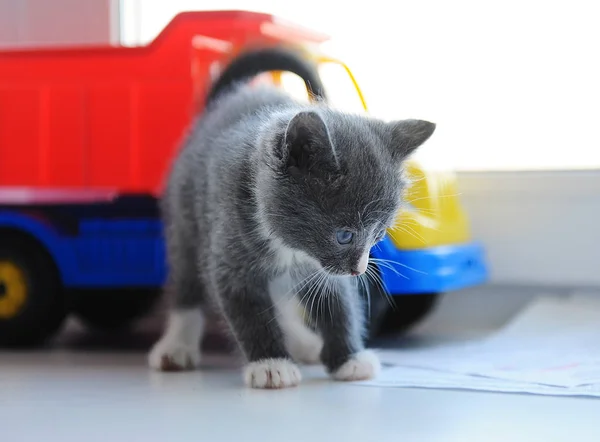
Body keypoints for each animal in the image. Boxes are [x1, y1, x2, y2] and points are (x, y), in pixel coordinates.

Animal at [147, 46, 434, 388]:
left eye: (379, 235)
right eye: (345, 235)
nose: (360, 270)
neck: (290, 248)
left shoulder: (322, 270)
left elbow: (337, 304)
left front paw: (349, 359)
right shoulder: (230, 252)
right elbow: (248, 310)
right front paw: (271, 364)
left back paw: (301, 342)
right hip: (184, 220)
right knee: (187, 286)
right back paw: (176, 346)